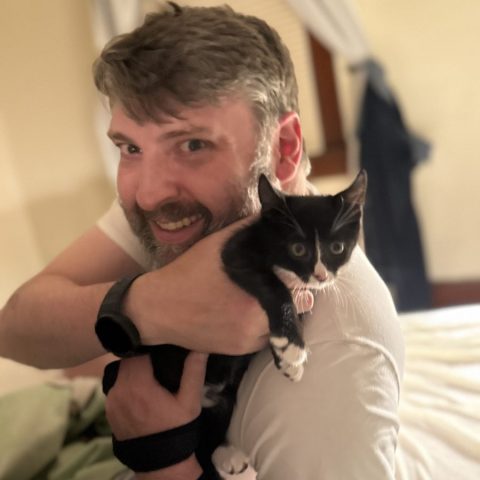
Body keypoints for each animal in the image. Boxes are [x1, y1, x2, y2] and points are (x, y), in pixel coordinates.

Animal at [123, 170, 367, 478]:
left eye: (337, 247)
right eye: (298, 249)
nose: (321, 276)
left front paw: (285, 355)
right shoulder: (235, 250)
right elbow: (272, 284)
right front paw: (292, 346)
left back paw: (225, 453)